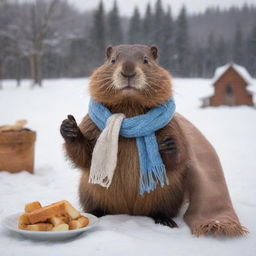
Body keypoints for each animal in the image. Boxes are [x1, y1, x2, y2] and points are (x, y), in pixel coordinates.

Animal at [60, 44, 246, 236]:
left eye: (146, 60)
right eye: (112, 60)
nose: (128, 70)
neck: (129, 107)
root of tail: (129, 212)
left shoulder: (172, 125)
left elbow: (182, 154)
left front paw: (169, 145)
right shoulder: (90, 121)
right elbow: (85, 155)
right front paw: (69, 127)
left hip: (170, 193)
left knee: (161, 209)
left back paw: (165, 220)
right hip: (87, 190)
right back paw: (95, 213)